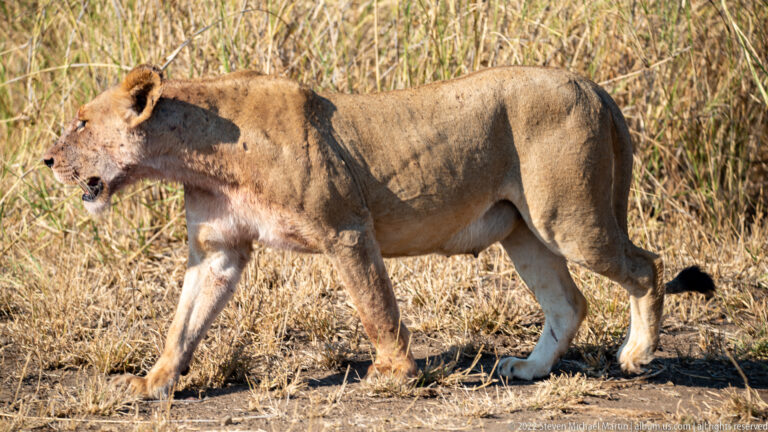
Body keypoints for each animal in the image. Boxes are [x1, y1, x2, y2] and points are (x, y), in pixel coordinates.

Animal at [43, 64, 714, 398]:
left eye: (80, 123)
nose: (47, 160)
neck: (198, 152)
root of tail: (593, 86)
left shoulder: (345, 227)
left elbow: (375, 305)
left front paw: (395, 373)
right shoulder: (218, 249)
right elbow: (184, 322)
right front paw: (153, 384)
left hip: (568, 218)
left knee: (647, 267)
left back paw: (636, 355)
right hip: (524, 232)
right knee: (569, 302)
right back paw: (528, 369)